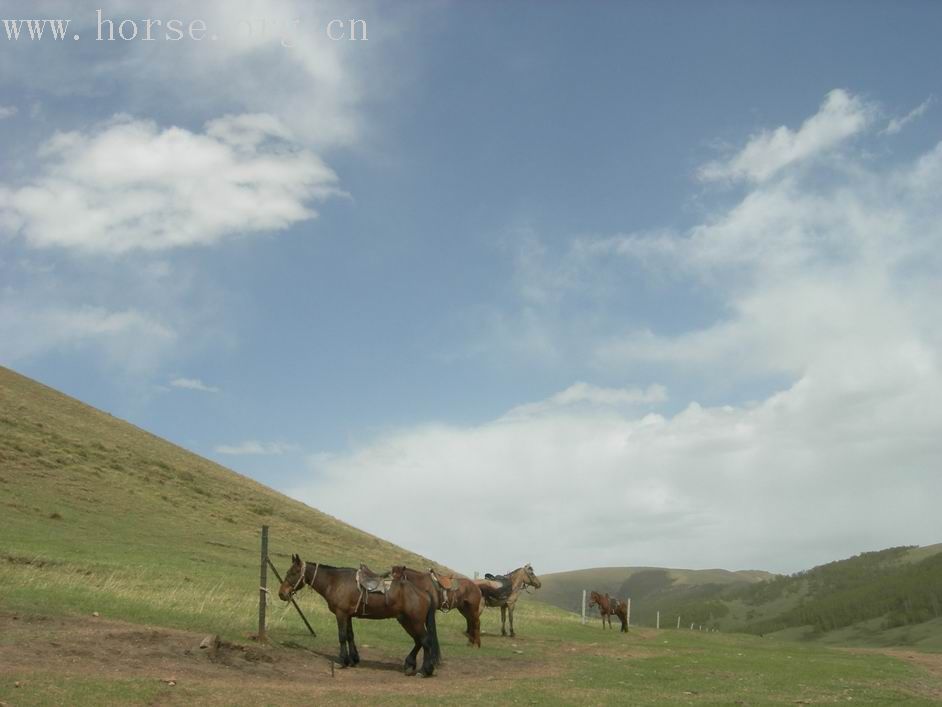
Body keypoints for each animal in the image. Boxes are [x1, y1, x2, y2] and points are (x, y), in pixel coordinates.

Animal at [280, 556, 442, 676]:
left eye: (292, 573)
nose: (282, 593)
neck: (335, 581)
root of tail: (425, 593)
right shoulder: (348, 615)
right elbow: (350, 636)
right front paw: (353, 660)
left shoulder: (341, 614)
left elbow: (342, 636)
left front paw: (341, 661)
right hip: (405, 620)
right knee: (418, 641)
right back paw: (410, 665)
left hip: (415, 622)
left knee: (425, 641)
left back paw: (424, 670)